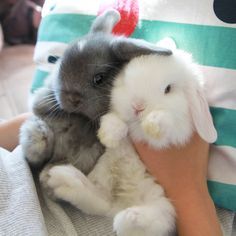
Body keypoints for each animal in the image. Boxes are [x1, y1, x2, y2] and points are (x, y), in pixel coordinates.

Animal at [44, 48, 218, 235]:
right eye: (126, 77)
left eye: (168, 89)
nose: (137, 106)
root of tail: (123, 203)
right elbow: (115, 120)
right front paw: (109, 135)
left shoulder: (179, 131)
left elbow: (166, 123)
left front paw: (153, 124)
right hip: (104, 172)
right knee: (100, 200)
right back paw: (64, 180)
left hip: (163, 205)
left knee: (155, 221)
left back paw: (130, 218)